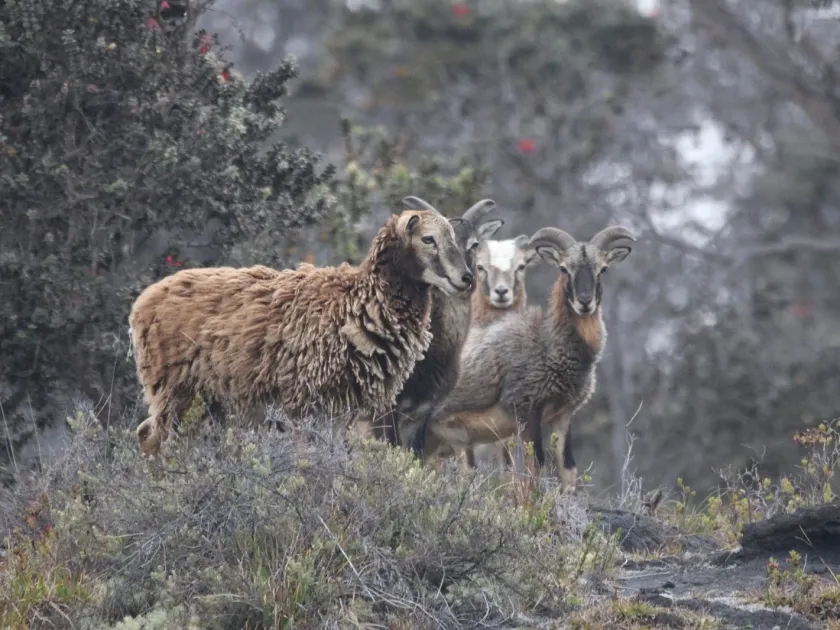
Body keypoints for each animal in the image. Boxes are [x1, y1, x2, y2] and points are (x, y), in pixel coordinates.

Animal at [130, 205, 475, 458]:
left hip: (203, 398)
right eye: (428, 239)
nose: (466, 278)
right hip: (173, 389)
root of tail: (143, 302)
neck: (359, 302)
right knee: (154, 439)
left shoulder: (342, 410)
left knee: (148, 434)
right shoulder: (304, 403)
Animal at [413, 225, 636, 490]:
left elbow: (568, 470)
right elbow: (535, 468)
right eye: (563, 268)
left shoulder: (563, 415)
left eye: (603, 269)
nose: (584, 302)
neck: (546, 342)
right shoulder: (526, 412)